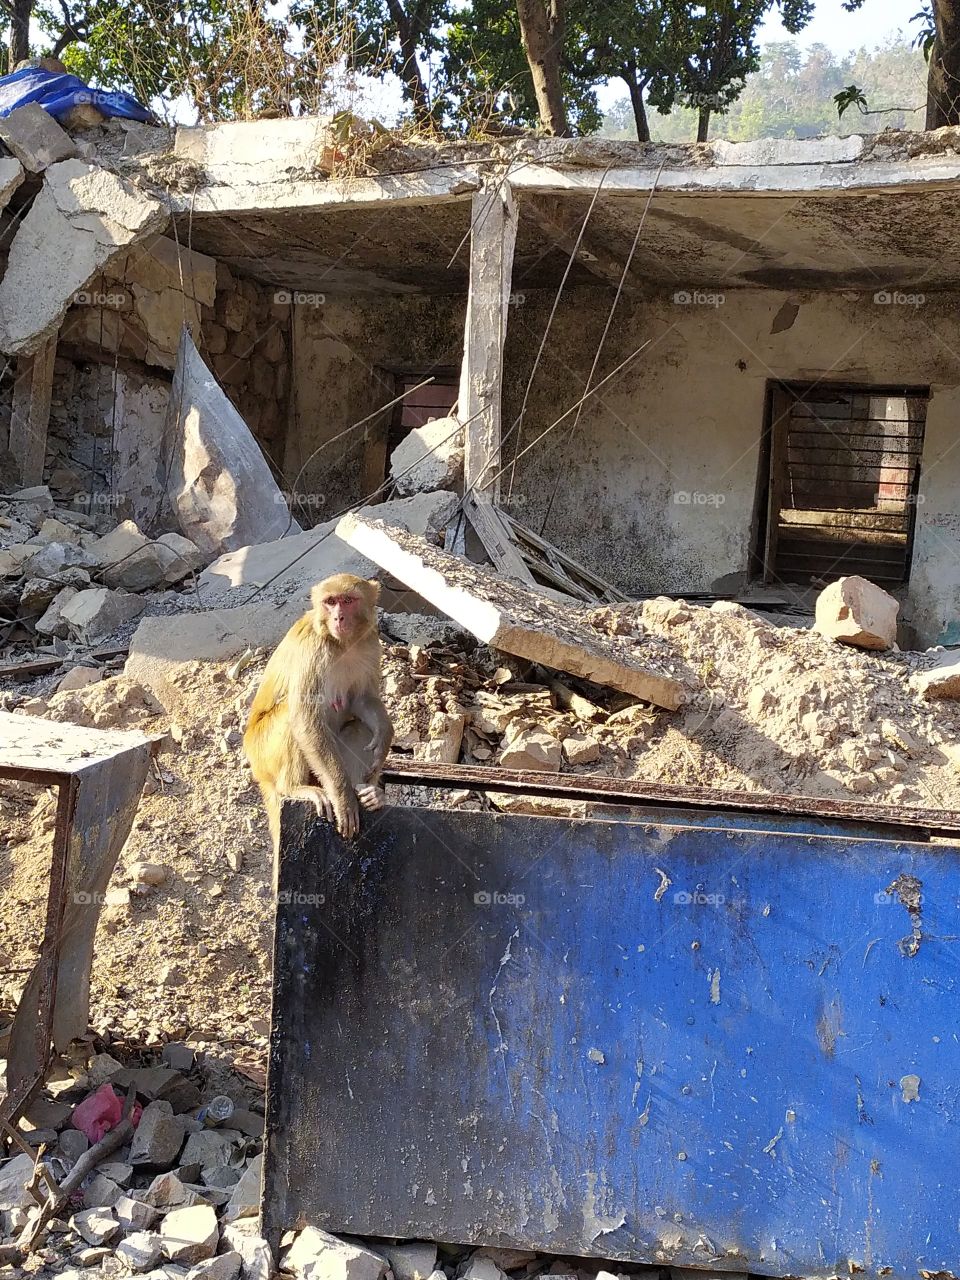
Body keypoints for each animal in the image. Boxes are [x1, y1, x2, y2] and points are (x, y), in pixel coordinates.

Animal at [243, 573, 394, 859]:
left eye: (348, 600)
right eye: (330, 602)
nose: (338, 618)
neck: (342, 644)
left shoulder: (371, 645)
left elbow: (362, 701)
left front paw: (385, 734)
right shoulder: (312, 648)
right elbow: (305, 718)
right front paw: (342, 797)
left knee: (358, 727)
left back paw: (368, 793)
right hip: (261, 751)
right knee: (290, 716)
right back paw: (293, 788)